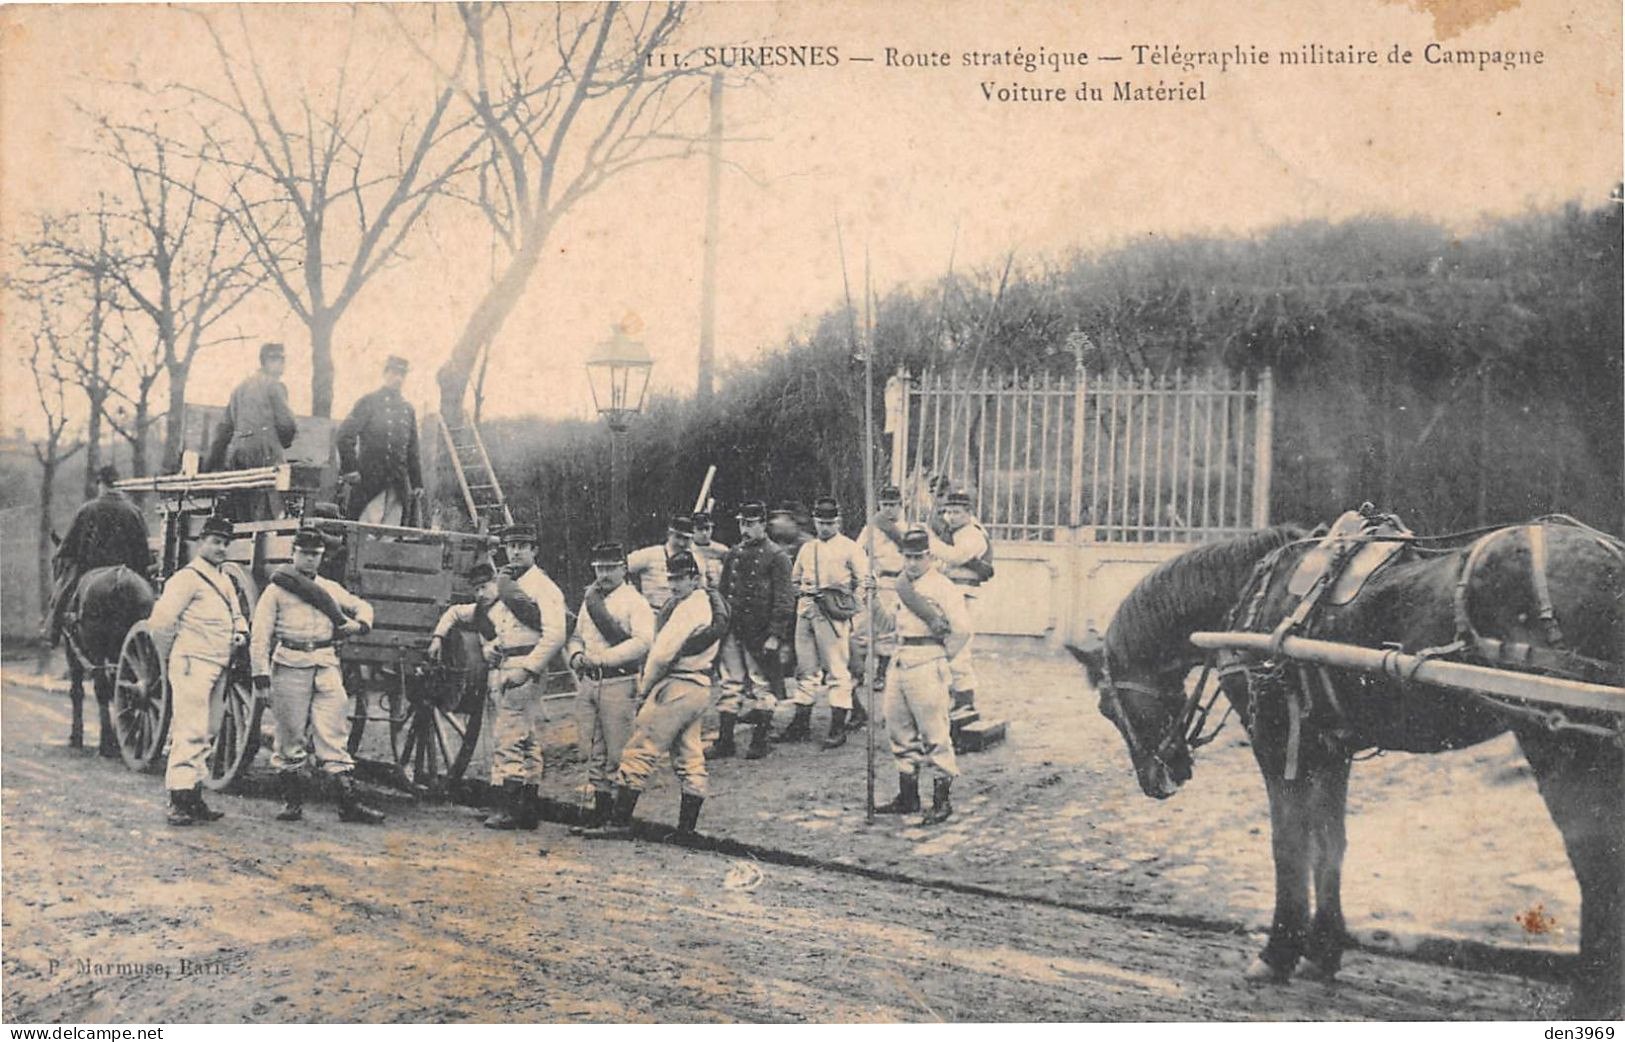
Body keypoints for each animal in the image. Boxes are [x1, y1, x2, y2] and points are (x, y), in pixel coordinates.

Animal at [60, 565, 154, 751]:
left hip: (97, 649)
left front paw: (76, 737)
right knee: (123, 687)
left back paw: (107, 743)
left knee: (102, 688)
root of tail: (119, 578)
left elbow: (77, 691)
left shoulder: (72, 649)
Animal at [1066, 520, 1625, 1014]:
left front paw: (1277, 953)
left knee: (1593, 856)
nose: (1159, 779)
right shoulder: (1329, 749)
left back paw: (1590, 992)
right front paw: (1323, 950)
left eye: (1106, 707)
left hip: (1559, 741)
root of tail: (1608, 556)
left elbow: (1289, 846)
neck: (1253, 594)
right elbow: (1329, 845)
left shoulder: (1277, 746)